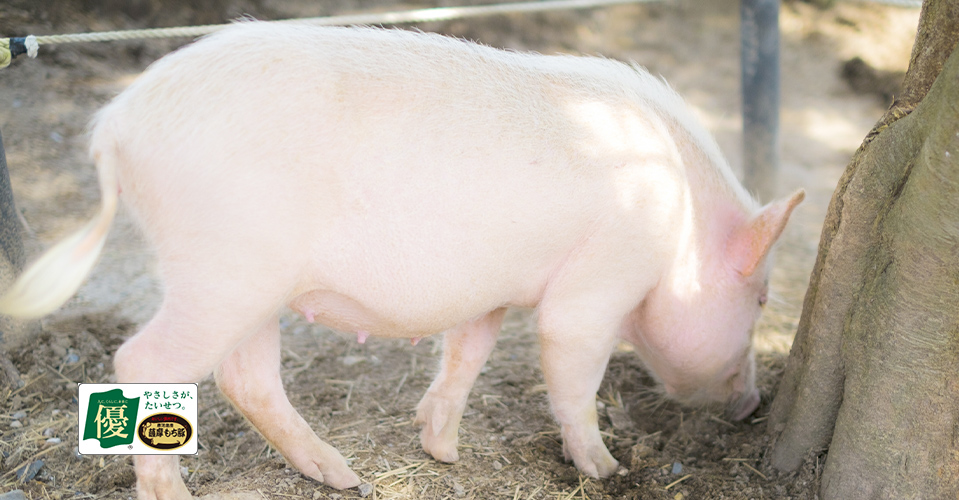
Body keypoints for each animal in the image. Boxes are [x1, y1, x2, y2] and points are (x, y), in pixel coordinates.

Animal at [0, 22, 804, 500]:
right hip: (224, 266)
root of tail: (115, 125)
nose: (753, 405)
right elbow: (571, 364)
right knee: (141, 361)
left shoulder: (491, 294)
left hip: (247, 282)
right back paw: (181, 493)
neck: (680, 222)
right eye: (762, 299)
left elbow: (466, 353)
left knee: (245, 378)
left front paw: (441, 451)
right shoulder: (601, 278)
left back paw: (344, 477)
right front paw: (609, 470)